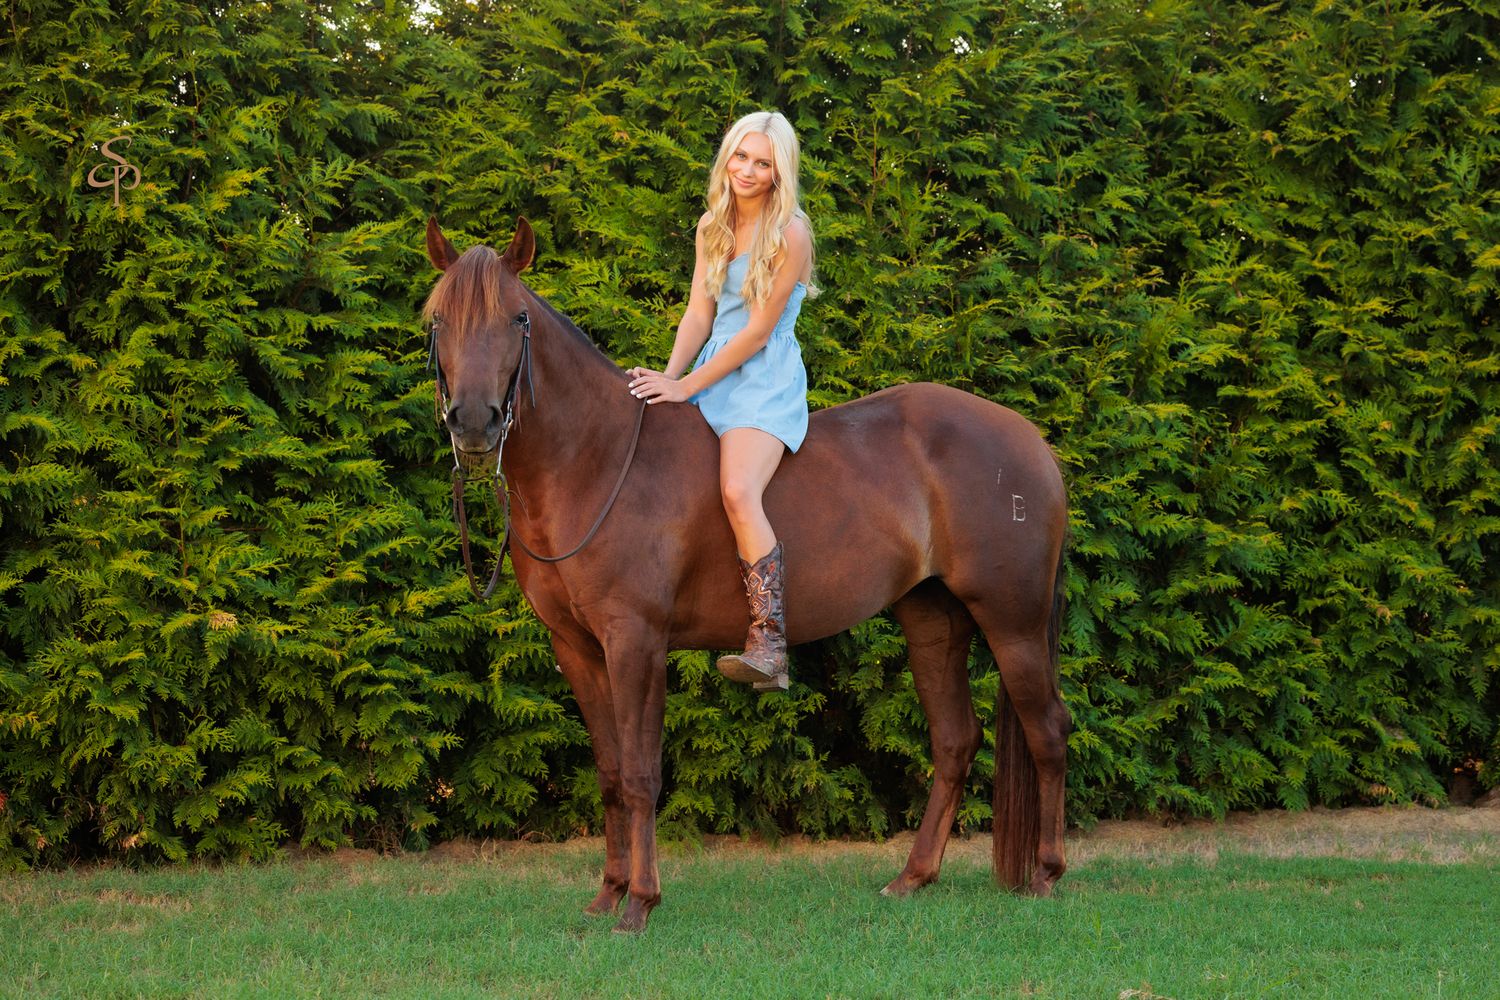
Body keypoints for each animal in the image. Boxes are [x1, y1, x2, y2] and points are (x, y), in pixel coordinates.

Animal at [420, 216, 1070, 933]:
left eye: (516, 319)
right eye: (438, 320)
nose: (472, 422)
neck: (598, 460)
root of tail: (1029, 439)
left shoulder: (635, 642)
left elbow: (642, 774)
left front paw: (639, 903)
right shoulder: (578, 649)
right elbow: (612, 774)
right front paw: (608, 894)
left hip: (1012, 622)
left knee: (1047, 732)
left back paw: (1046, 874)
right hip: (932, 618)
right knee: (955, 741)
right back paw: (912, 878)